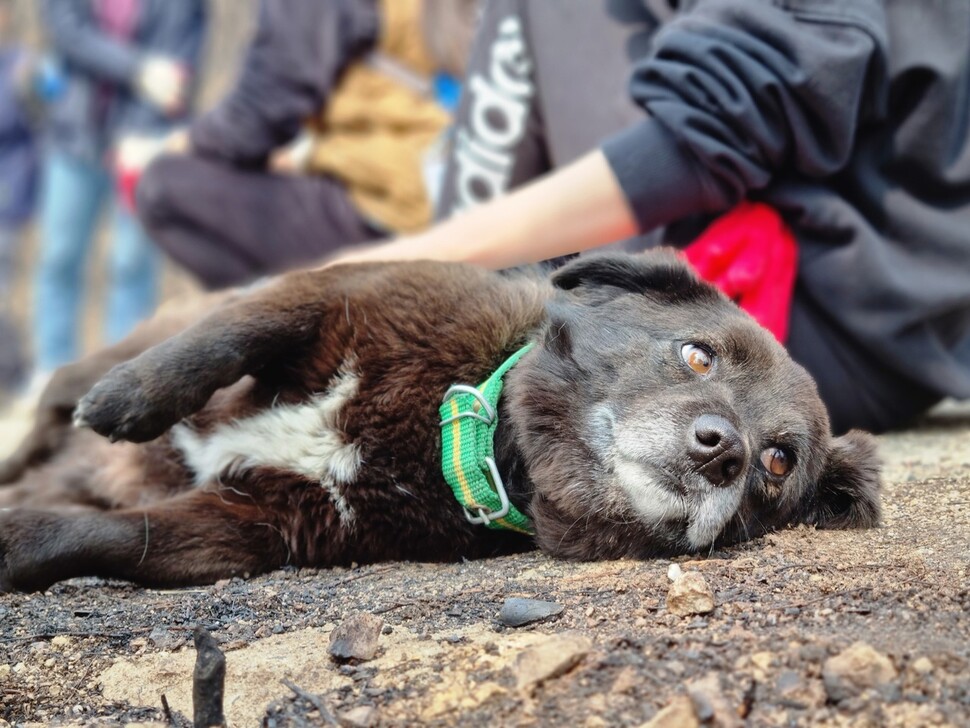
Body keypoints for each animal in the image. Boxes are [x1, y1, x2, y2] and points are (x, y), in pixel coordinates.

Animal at [0, 250, 880, 592]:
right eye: (698, 356)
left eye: (776, 465)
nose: (722, 451)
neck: (455, 432)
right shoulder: (328, 296)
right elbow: (219, 343)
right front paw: (128, 401)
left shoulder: (264, 524)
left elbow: (116, 535)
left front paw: (16, 541)